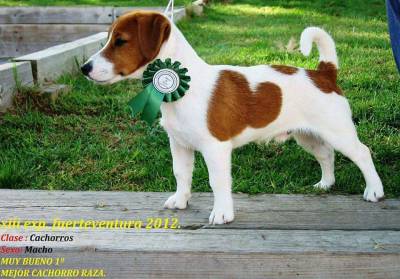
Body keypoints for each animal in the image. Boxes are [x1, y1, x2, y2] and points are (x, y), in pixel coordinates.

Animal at [81, 10, 384, 225]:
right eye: (107, 40)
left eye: (121, 41)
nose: (84, 68)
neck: (184, 84)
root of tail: (324, 73)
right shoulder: (179, 145)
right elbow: (181, 174)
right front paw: (181, 200)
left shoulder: (215, 149)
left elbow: (218, 182)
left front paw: (222, 213)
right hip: (306, 135)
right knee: (326, 155)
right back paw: (325, 184)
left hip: (338, 131)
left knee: (362, 153)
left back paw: (374, 191)